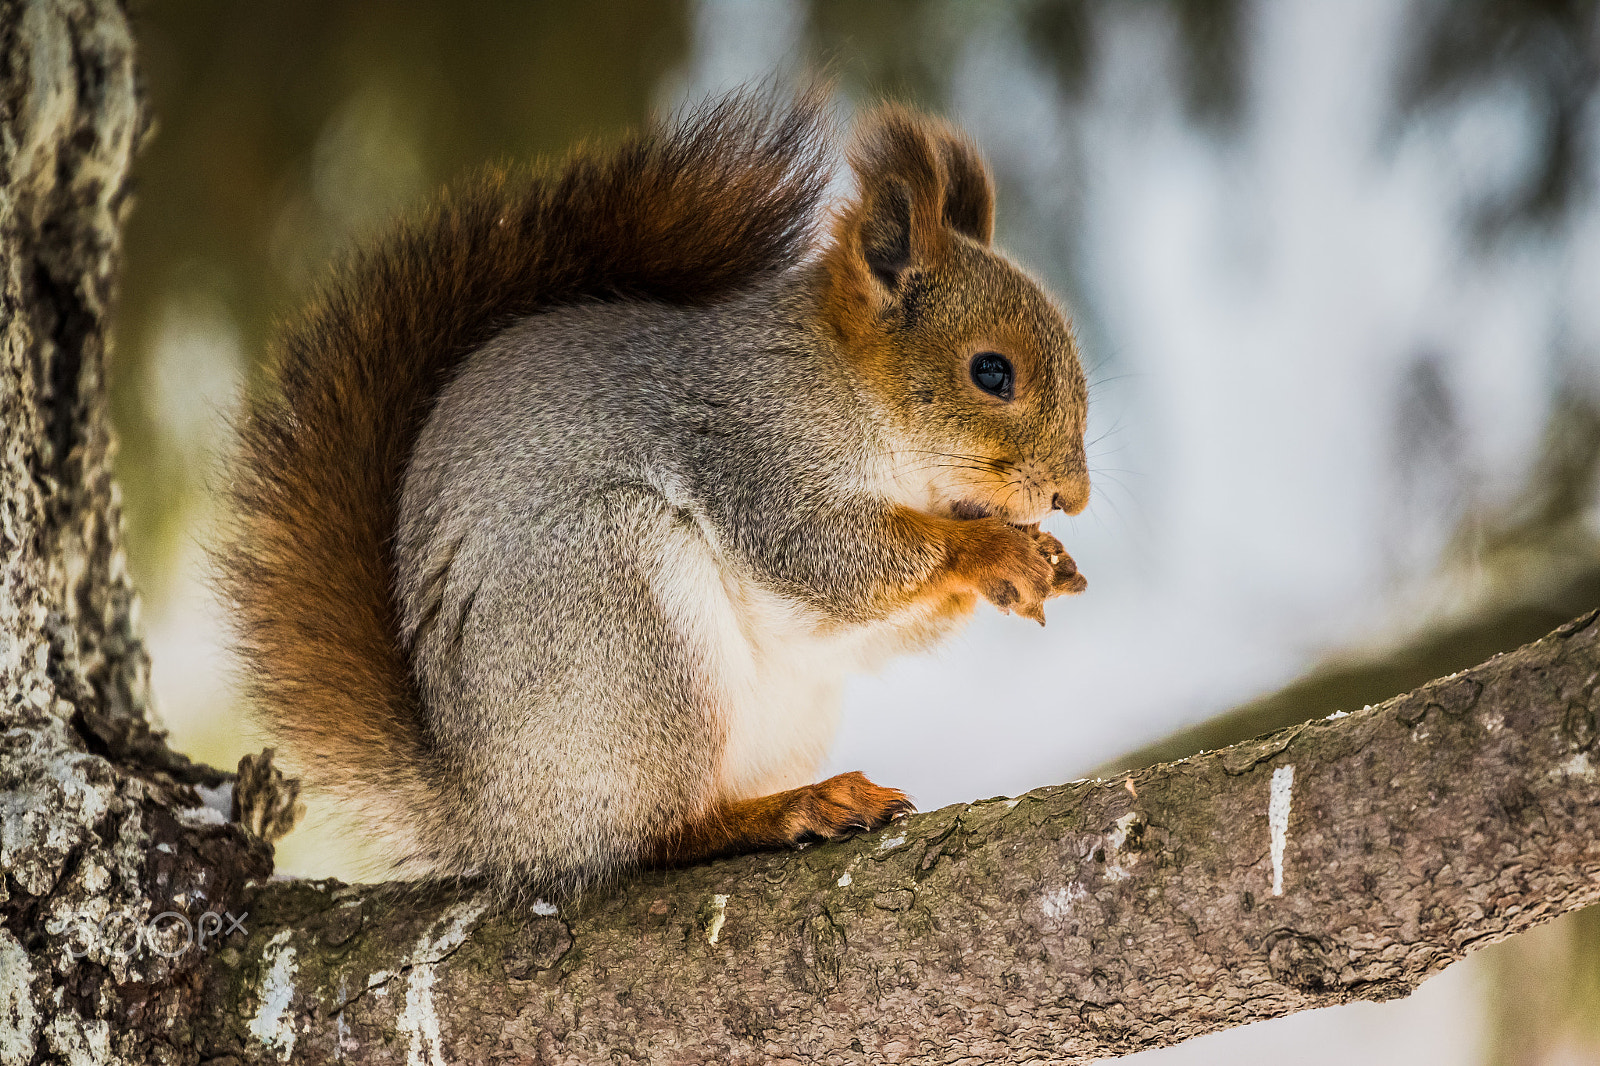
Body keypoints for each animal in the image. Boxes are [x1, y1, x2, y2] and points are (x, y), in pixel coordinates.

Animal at [220, 89, 1090, 896]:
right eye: (991, 372)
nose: (1071, 499)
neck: (846, 384)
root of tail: (494, 818)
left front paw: (1043, 559)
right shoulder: (752, 450)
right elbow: (823, 556)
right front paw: (993, 551)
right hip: (622, 611)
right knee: (648, 837)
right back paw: (784, 812)